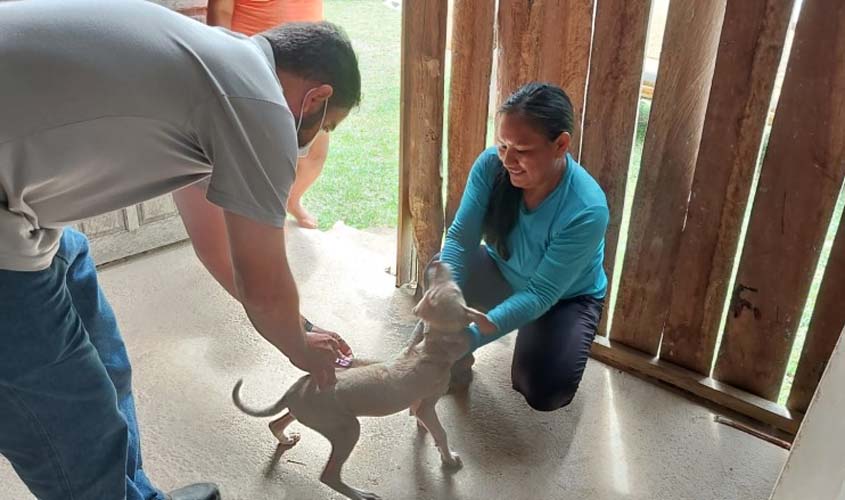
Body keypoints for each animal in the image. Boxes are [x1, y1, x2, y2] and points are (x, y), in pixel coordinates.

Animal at [231, 262, 484, 500]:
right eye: (455, 289)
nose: (436, 263)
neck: (431, 349)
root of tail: (294, 391)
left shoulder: (420, 401)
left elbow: (424, 422)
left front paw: (427, 434)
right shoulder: (428, 405)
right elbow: (440, 432)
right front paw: (449, 459)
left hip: (307, 413)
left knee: (275, 424)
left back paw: (285, 438)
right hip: (348, 429)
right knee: (329, 476)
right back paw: (359, 494)